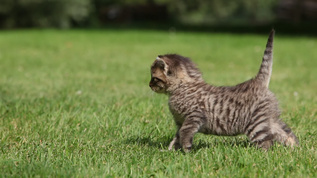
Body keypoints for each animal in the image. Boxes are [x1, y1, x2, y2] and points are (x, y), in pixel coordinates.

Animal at [149, 29, 298, 152]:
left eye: (154, 78)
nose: (149, 85)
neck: (182, 88)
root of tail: (257, 82)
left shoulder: (194, 117)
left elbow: (185, 134)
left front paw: (186, 151)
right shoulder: (180, 122)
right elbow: (176, 137)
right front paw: (170, 150)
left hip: (256, 124)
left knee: (267, 142)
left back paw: (262, 155)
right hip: (271, 119)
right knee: (287, 133)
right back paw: (295, 149)